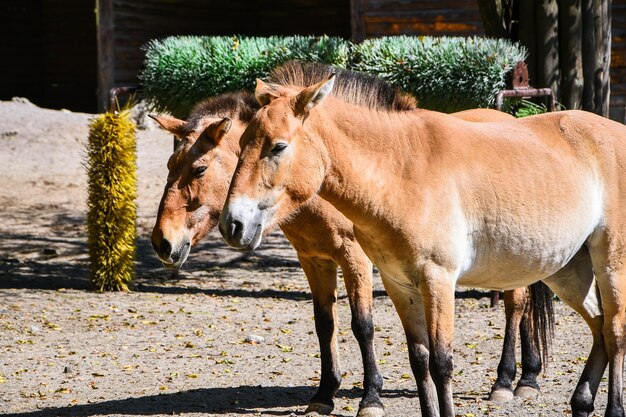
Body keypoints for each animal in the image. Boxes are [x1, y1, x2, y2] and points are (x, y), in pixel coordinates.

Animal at [219, 72, 616, 416]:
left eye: (278, 147)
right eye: (240, 145)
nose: (232, 224)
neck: (402, 173)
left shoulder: (437, 280)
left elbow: (440, 362)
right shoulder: (398, 284)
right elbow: (418, 359)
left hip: (609, 264)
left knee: (614, 329)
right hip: (569, 272)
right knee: (600, 327)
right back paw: (578, 402)